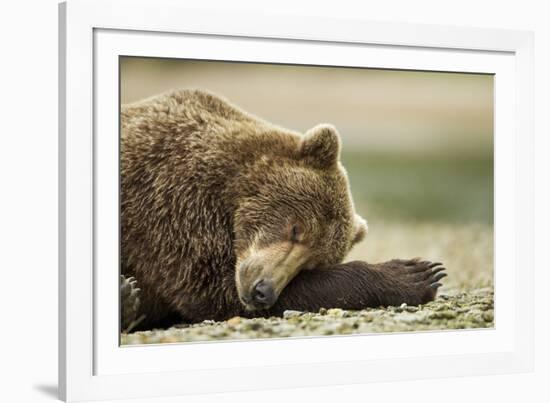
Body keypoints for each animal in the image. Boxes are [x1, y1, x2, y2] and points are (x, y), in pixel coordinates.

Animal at [121, 89, 448, 332]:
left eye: (311, 263)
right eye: (296, 229)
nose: (262, 291)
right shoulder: (172, 206)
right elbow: (210, 288)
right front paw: (415, 274)